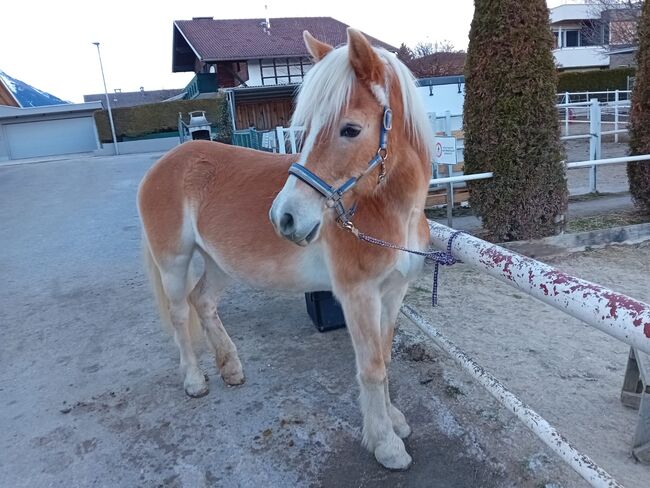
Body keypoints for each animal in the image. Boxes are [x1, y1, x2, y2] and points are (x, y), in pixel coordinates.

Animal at [137, 27, 430, 468]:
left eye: (350, 129)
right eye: (304, 130)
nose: (284, 218)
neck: (388, 211)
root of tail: (167, 161)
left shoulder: (393, 293)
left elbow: (386, 355)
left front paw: (393, 421)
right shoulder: (358, 295)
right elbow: (372, 367)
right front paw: (386, 443)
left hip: (219, 263)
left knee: (201, 301)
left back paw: (231, 368)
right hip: (173, 262)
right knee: (178, 314)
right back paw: (194, 380)